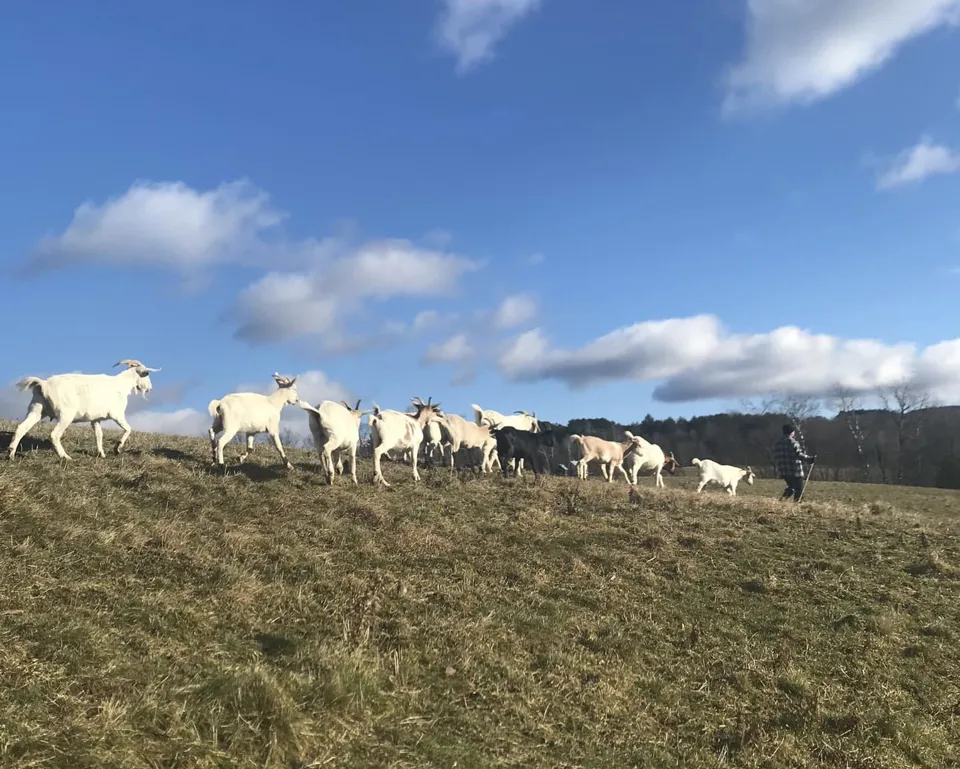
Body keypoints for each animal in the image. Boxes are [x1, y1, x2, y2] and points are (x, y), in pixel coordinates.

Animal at [8, 359, 160, 461]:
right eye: (147, 374)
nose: (150, 388)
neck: (121, 385)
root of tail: (43, 384)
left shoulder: (96, 419)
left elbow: (99, 435)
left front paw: (101, 454)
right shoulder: (117, 415)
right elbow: (128, 429)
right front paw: (117, 448)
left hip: (37, 409)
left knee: (21, 428)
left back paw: (11, 454)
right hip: (65, 415)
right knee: (54, 435)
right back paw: (65, 457)